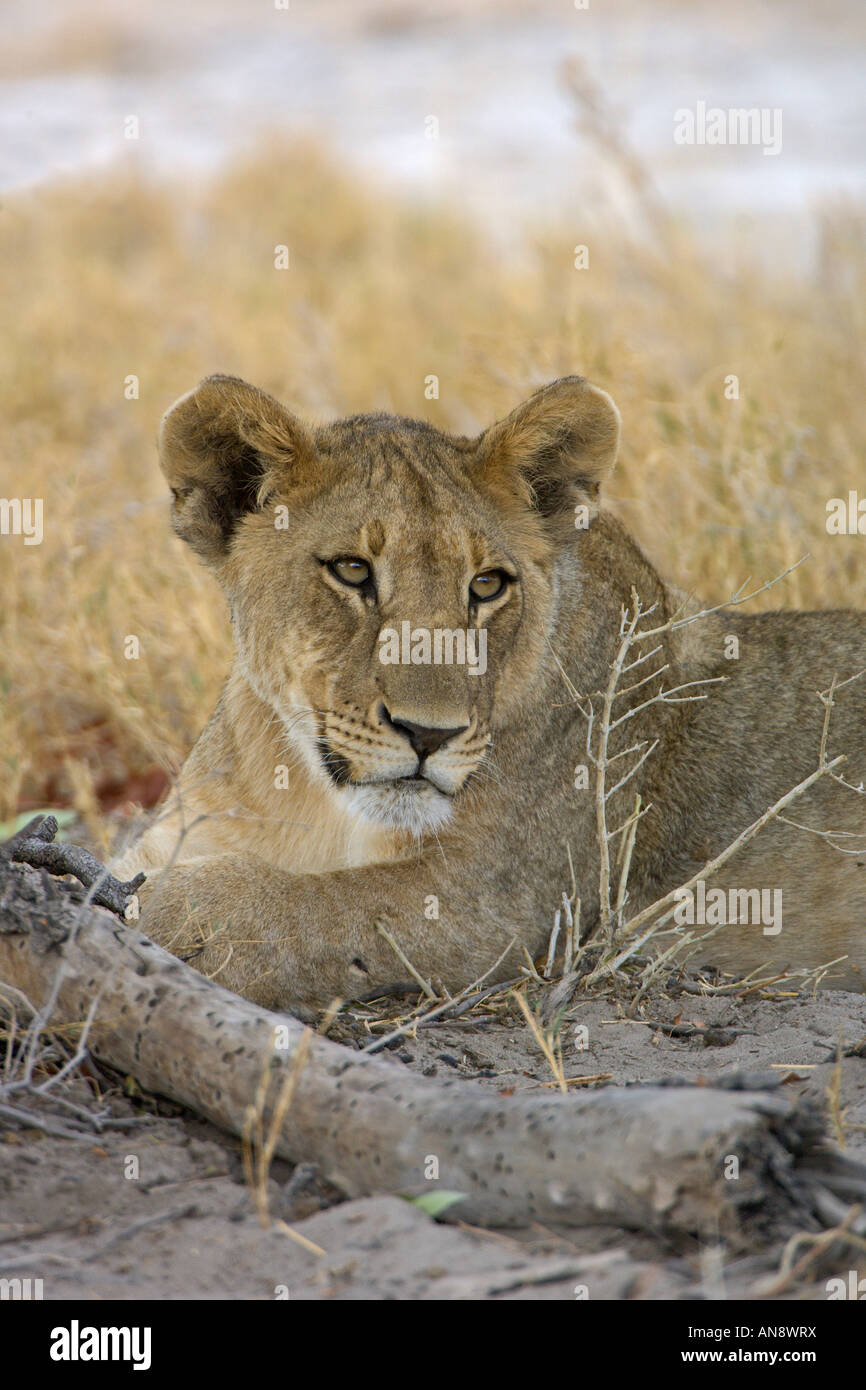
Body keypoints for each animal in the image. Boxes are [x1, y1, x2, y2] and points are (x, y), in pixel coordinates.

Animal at [114, 373, 866, 1010]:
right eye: (353, 571)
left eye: (486, 585)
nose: (430, 735)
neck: (308, 791)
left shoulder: (494, 906)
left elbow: (307, 909)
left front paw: (171, 911)